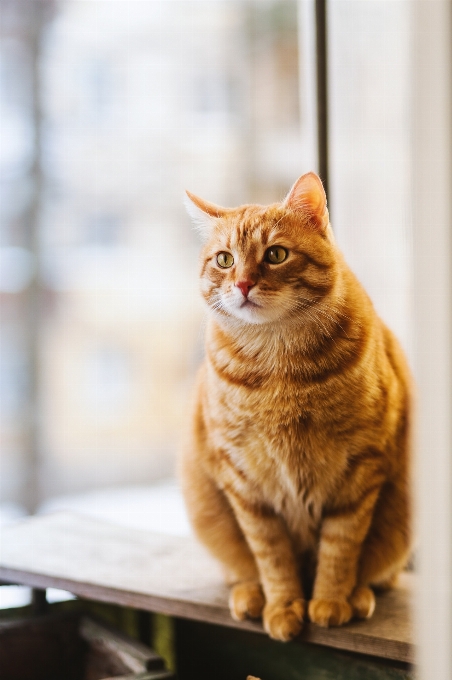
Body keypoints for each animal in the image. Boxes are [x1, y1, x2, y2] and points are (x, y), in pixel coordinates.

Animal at [179, 173, 410, 640]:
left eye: (276, 254)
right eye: (225, 260)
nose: (243, 284)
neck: (279, 369)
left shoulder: (361, 468)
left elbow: (341, 546)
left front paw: (330, 601)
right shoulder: (244, 482)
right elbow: (271, 555)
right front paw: (284, 605)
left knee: (381, 572)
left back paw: (359, 595)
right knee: (241, 568)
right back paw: (250, 595)